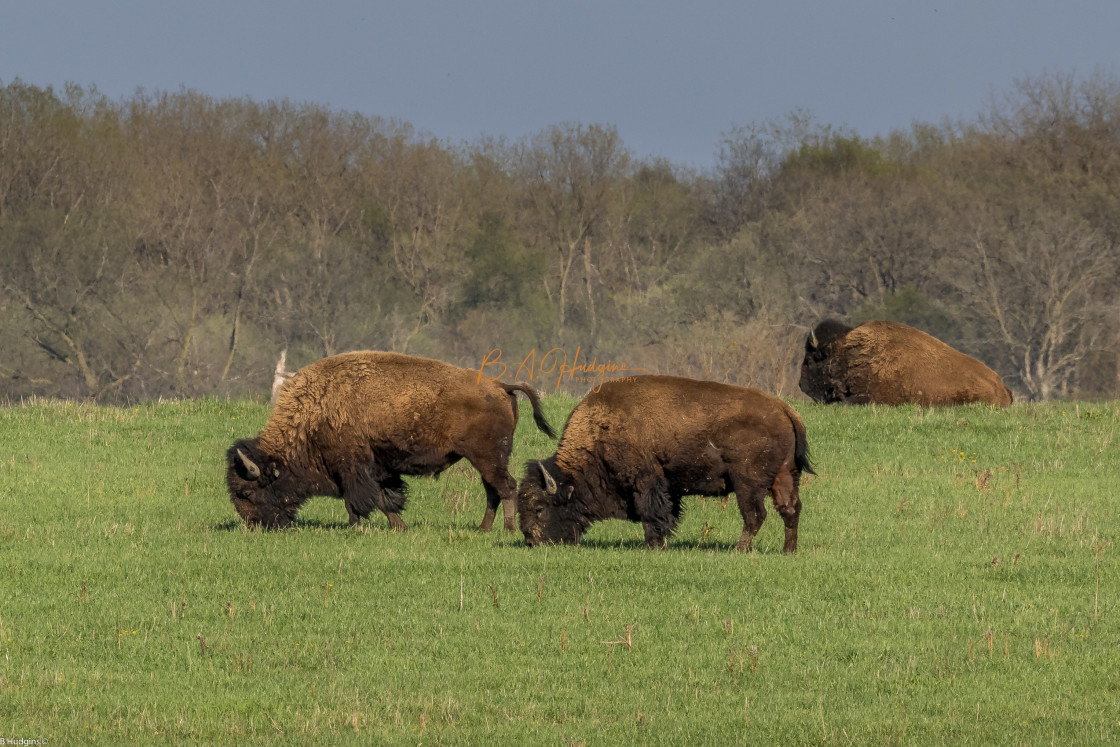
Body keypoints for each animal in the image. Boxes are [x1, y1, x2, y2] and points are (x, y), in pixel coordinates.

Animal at [226, 351, 555, 530]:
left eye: (247, 492)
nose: (254, 525)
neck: (315, 409)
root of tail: (499, 385)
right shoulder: (377, 468)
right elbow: (385, 498)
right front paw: (400, 526)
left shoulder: (352, 469)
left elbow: (359, 499)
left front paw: (354, 527)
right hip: (486, 459)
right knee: (493, 490)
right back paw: (483, 529)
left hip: (487, 456)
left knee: (505, 486)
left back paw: (507, 529)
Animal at [515, 376, 815, 553]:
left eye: (539, 507)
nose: (531, 541)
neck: (599, 432)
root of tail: (784, 409)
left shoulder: (646, 481)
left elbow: (652, 513)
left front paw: (652, 545)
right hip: (785, 476)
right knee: (789, 510)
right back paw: (788, 550)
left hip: (748, 483)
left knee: (755, 514)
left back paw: (739, 549)